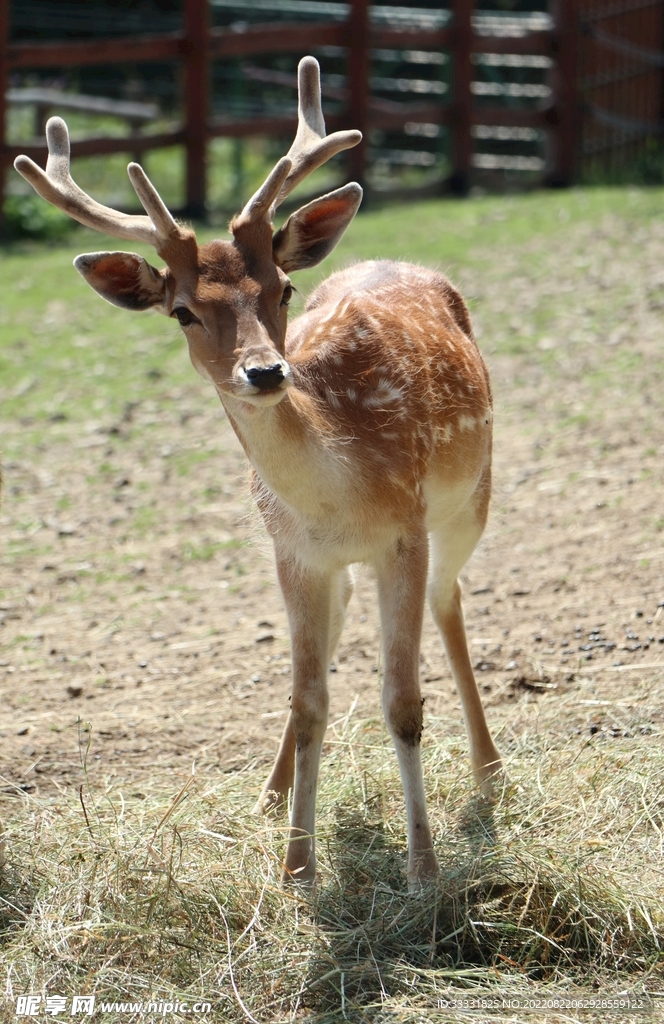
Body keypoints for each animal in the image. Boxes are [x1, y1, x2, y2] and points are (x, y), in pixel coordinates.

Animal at [14, 56, 502, 890]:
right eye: (181, 310)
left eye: (282, 290)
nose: (267, 372)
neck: (338, 488)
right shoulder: (293, 553)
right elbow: (309, 702)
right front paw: (296, 867)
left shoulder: (404, 534)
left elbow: (402, 703)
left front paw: (424, 871)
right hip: (342, 561)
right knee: (337, 639)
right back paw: (272, 794)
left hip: (472, 498)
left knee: (451, 600)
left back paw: (488, 770)